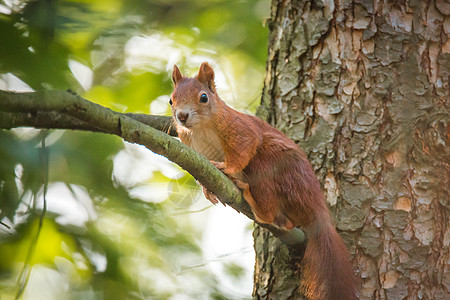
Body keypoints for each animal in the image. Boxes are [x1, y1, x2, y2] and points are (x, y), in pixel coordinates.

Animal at [169, 62, 358, 298]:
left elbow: (245, 147)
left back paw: (254, 201)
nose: (182, 116)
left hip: (270, 165)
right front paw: (207, 189)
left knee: (267, 210)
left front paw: (226, 167)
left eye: (203, 97)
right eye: (171, 100)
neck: (201, 129)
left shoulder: (239, 129)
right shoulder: (194, 150)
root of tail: (317, 208)